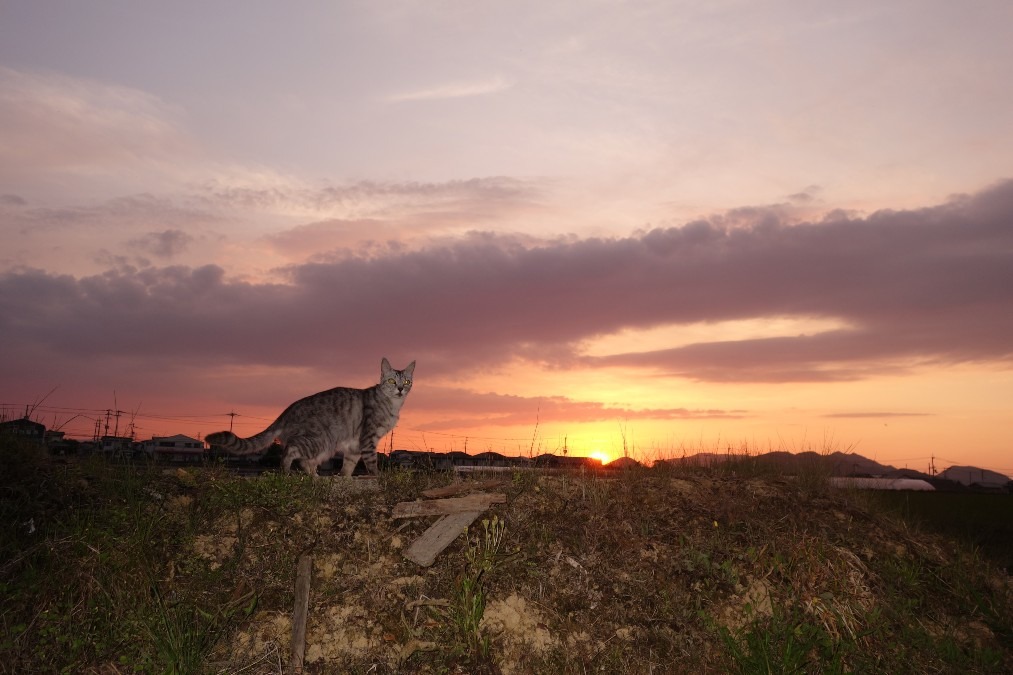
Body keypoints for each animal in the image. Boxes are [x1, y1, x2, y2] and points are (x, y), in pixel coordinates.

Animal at [205, 354, 415, 476]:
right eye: (391, 380)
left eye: (406, 381)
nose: (400, 389)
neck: (392, 405)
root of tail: (285, 413)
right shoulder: (368, 438)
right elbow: (372, 463)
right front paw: (378, 477)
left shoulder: (355, 445)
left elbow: (348, 466)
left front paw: (343, 478)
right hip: (320, 440)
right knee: (289, 451)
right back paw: (286, 473)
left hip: (322, 447)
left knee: (305, 462)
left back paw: (315, 478)